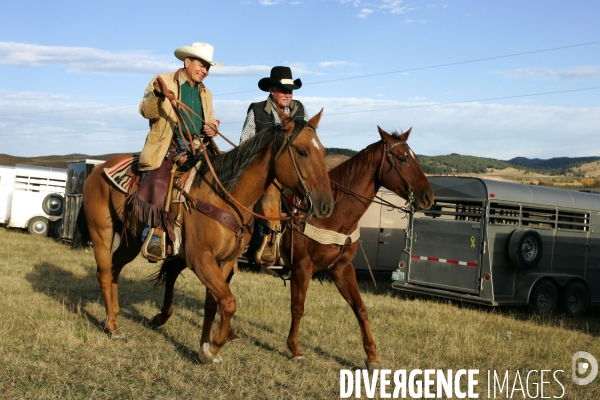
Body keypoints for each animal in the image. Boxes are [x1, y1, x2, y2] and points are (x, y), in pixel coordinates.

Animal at [77, 111, 332, 364]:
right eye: (302, 151)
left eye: (322, 151)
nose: (325, 204)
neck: (224, 196)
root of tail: (98, 170)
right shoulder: (199, 259)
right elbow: (228, 302)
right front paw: (213, 349)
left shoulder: (225, 261)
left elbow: (213, 303)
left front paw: (204, 346)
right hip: (102, 231)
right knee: (104, 272)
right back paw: (113, 327)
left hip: (131, 239)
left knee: (115, 269)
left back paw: (113, 315)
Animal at [149, 126, 432, 370]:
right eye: (402, 158)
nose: (428, 197)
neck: (332, 214)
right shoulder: (301, 266)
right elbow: (298, 307)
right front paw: (295, 349)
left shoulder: (341, 268)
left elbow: (360, 308)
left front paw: (372, 356)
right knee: (175, 271)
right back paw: (165, 318)